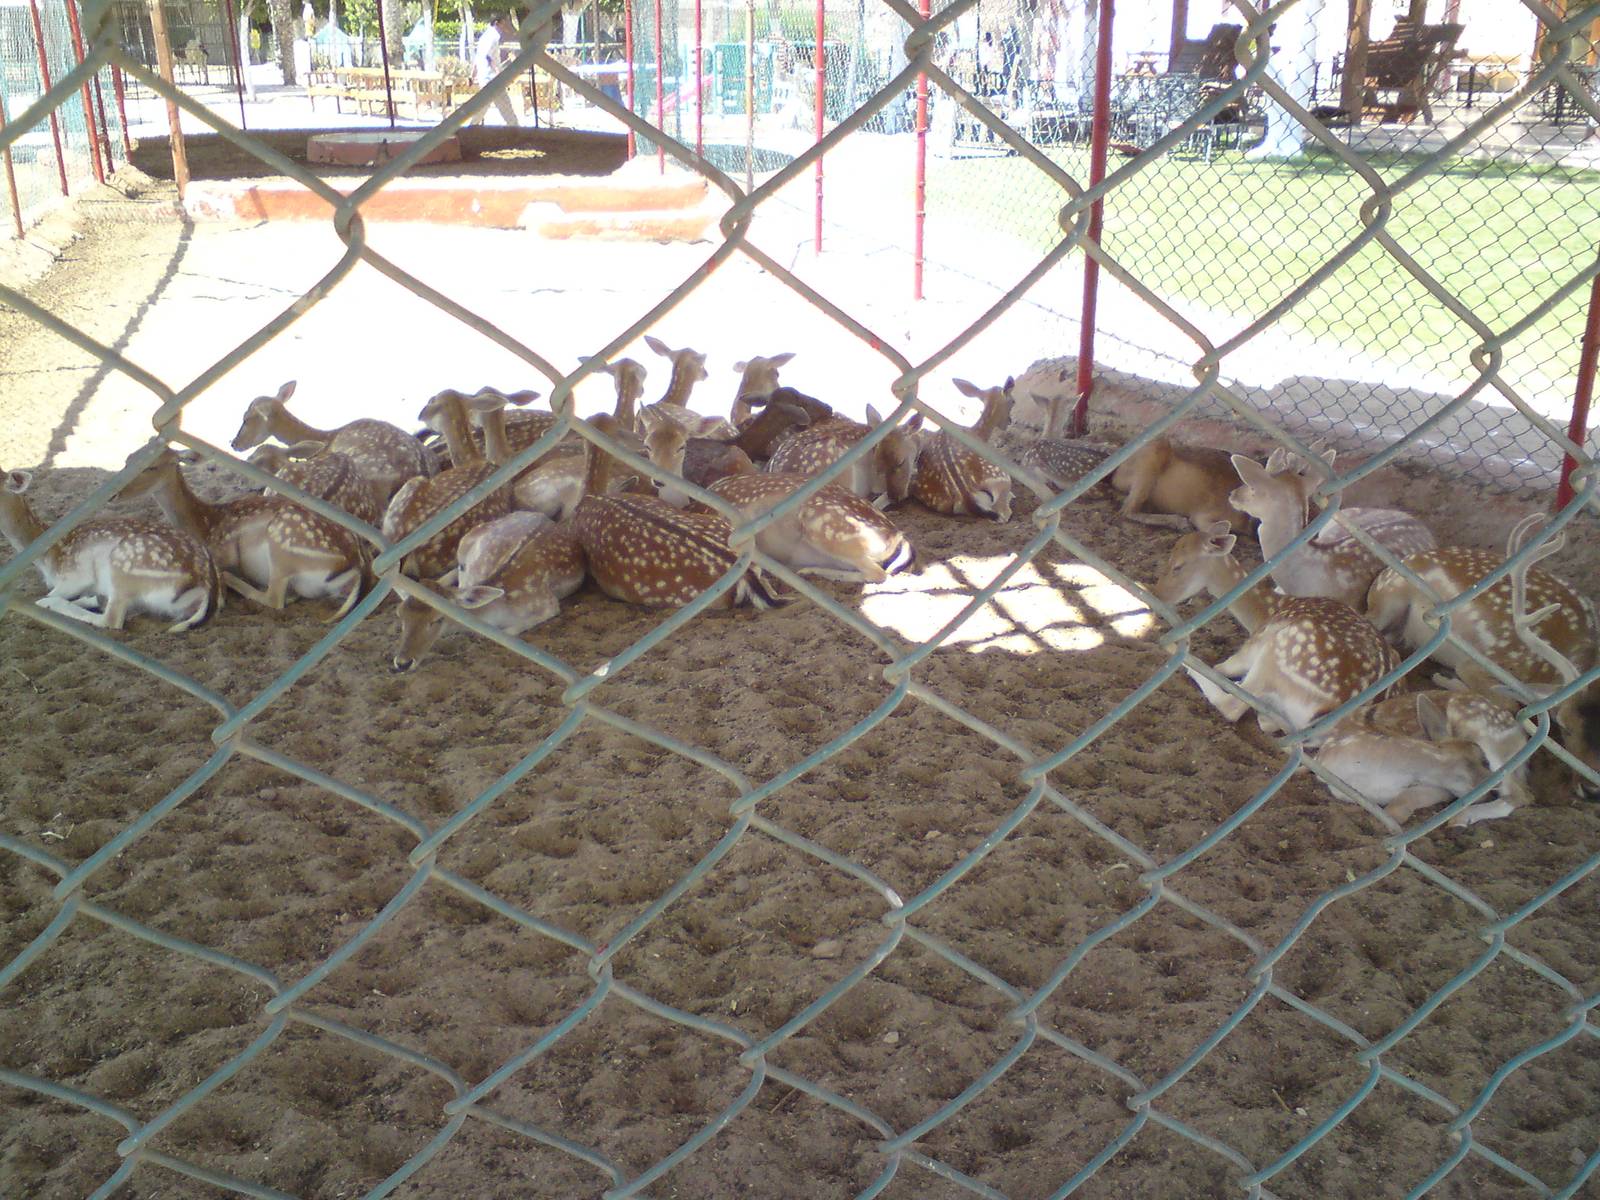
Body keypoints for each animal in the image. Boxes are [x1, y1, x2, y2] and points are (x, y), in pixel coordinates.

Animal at [1, 467, 220, 631]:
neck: (49, 558)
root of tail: (203, 587)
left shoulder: (75, 577)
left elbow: (52, 594)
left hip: (123, 566)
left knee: (111, 620)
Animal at [120, 449, 370, 618]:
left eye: (152, 466)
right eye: (128, 458)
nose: (118, 493)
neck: (203, 525)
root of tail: (354, 565)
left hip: (281, 544)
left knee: (274, 599)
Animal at [909, 378, 1015, 522]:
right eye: (1013, 401)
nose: (1008, 422)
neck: (978, 434)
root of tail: (967, 497)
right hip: (1000, 476)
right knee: (1003, 514)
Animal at [1150, 523, 1399, 737]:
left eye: (1178, 566)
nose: (1157, 594)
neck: (1265, 612)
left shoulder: (1252, 645)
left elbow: (1222, 667)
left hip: (1279, 651)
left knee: (1231, 705)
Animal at [1366, 514, 1599, 799]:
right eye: (1564, 725)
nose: (1591, 790)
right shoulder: (1480, 660)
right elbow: (1506, 702)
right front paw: (1448, 681)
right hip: (1389, 598)